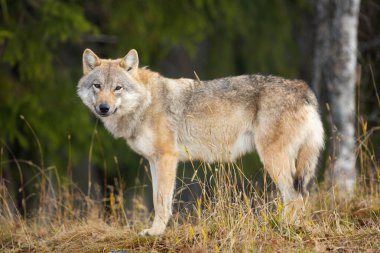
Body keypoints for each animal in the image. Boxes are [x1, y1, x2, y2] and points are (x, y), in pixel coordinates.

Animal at [77, 49, 324, 235]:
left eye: (117, 88)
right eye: (97, 86)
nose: (103, 108)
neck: (145, 103)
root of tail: (303, 88)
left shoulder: (167, 158)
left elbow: (161, 201)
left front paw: (155, 233)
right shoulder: (154, 161)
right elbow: (158, 200)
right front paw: (154, 230)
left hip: (273, 160)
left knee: (295, 197)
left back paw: (284, 228)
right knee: (298, 197)